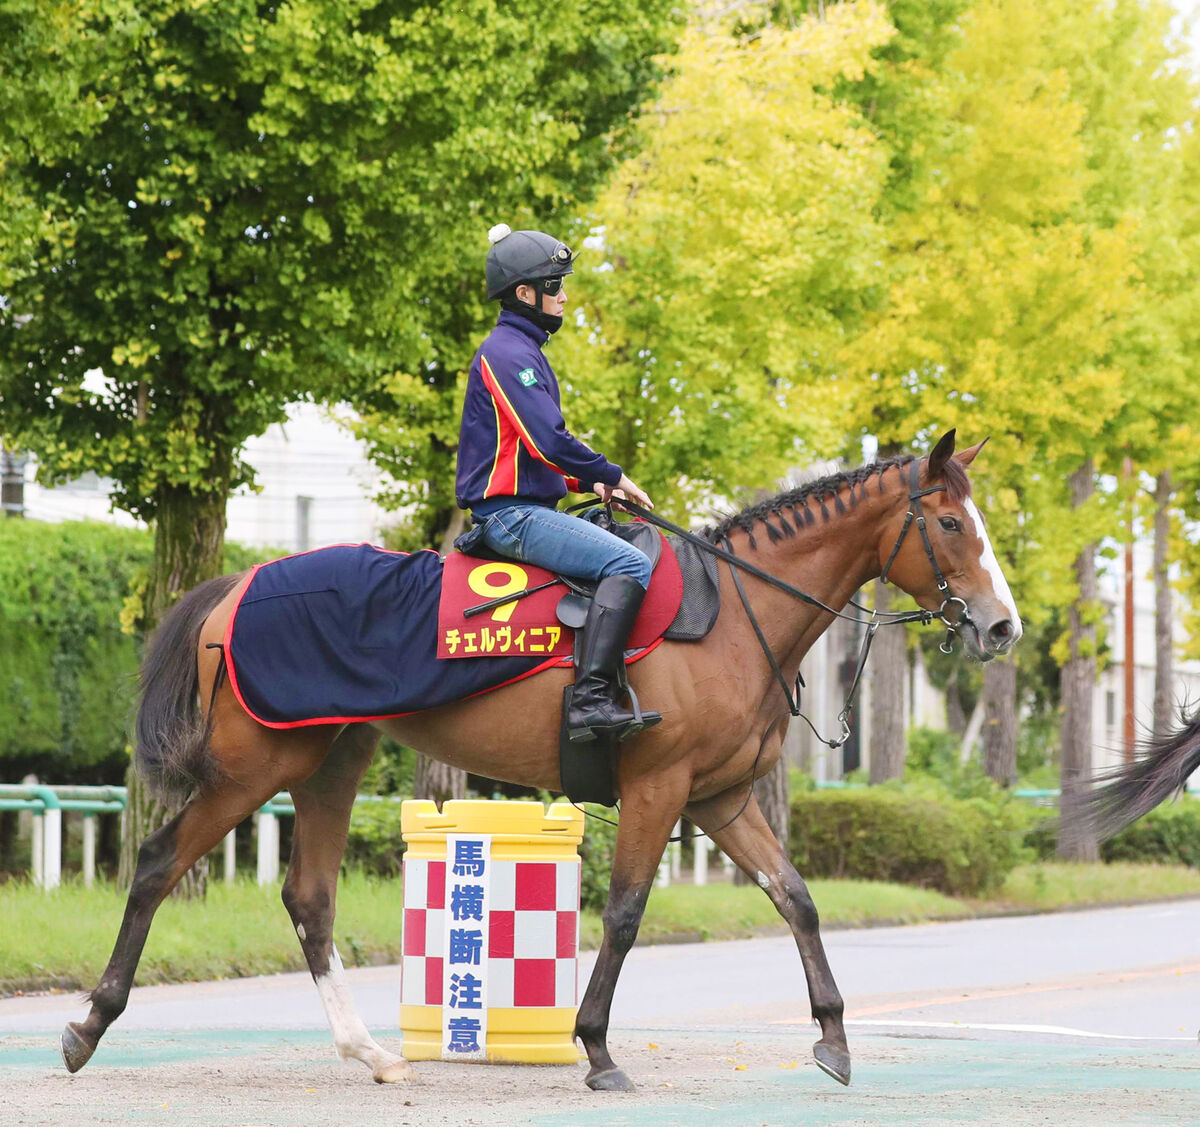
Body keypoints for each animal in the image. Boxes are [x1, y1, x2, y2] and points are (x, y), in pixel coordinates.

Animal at [63, 424, 1022, 1094]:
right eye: (949, 522)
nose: (1002, 624)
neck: (729, 612)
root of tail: (243, 581)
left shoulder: (723, 800)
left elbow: (798, 899)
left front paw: (831, 1034)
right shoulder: (659, 787)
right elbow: (627, 913)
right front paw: (594, 1045)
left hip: (331, 760)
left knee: (309, 897)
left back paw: (368, 1051)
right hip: (251, 769)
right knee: (158, 862)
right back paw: (90, 1023)